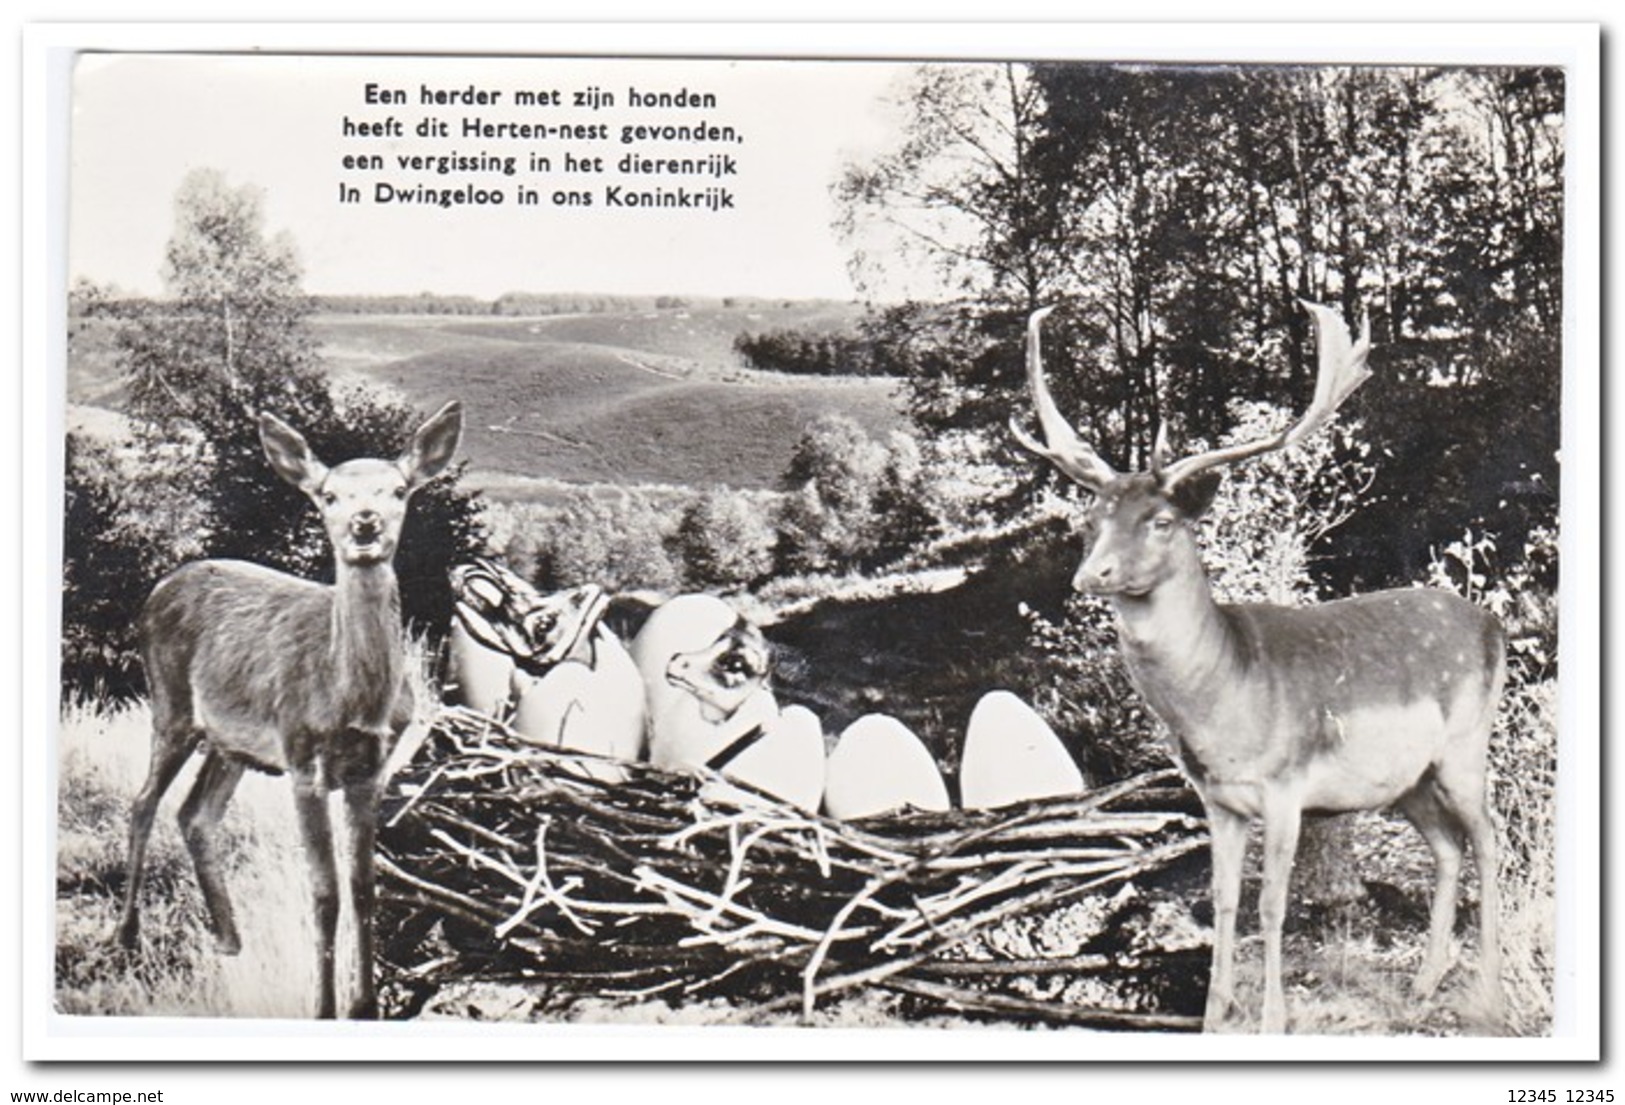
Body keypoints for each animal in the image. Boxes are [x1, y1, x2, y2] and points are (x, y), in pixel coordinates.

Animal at [1014, 303, 1508, 1033]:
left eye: (1160, 519)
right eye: (1090, 518)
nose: (1091, 574)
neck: (1225, 698)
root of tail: (1493, 624)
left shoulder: (1284, 785)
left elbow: (1272, 905)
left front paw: (1272, 1016)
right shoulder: (1215, 799)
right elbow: (1224, 899)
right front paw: (1214, 1013)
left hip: (1465, 745)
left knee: (1487, 838)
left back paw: (1489, 988)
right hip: (1407, 778)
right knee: (1446, 848)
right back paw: (1422, 983)